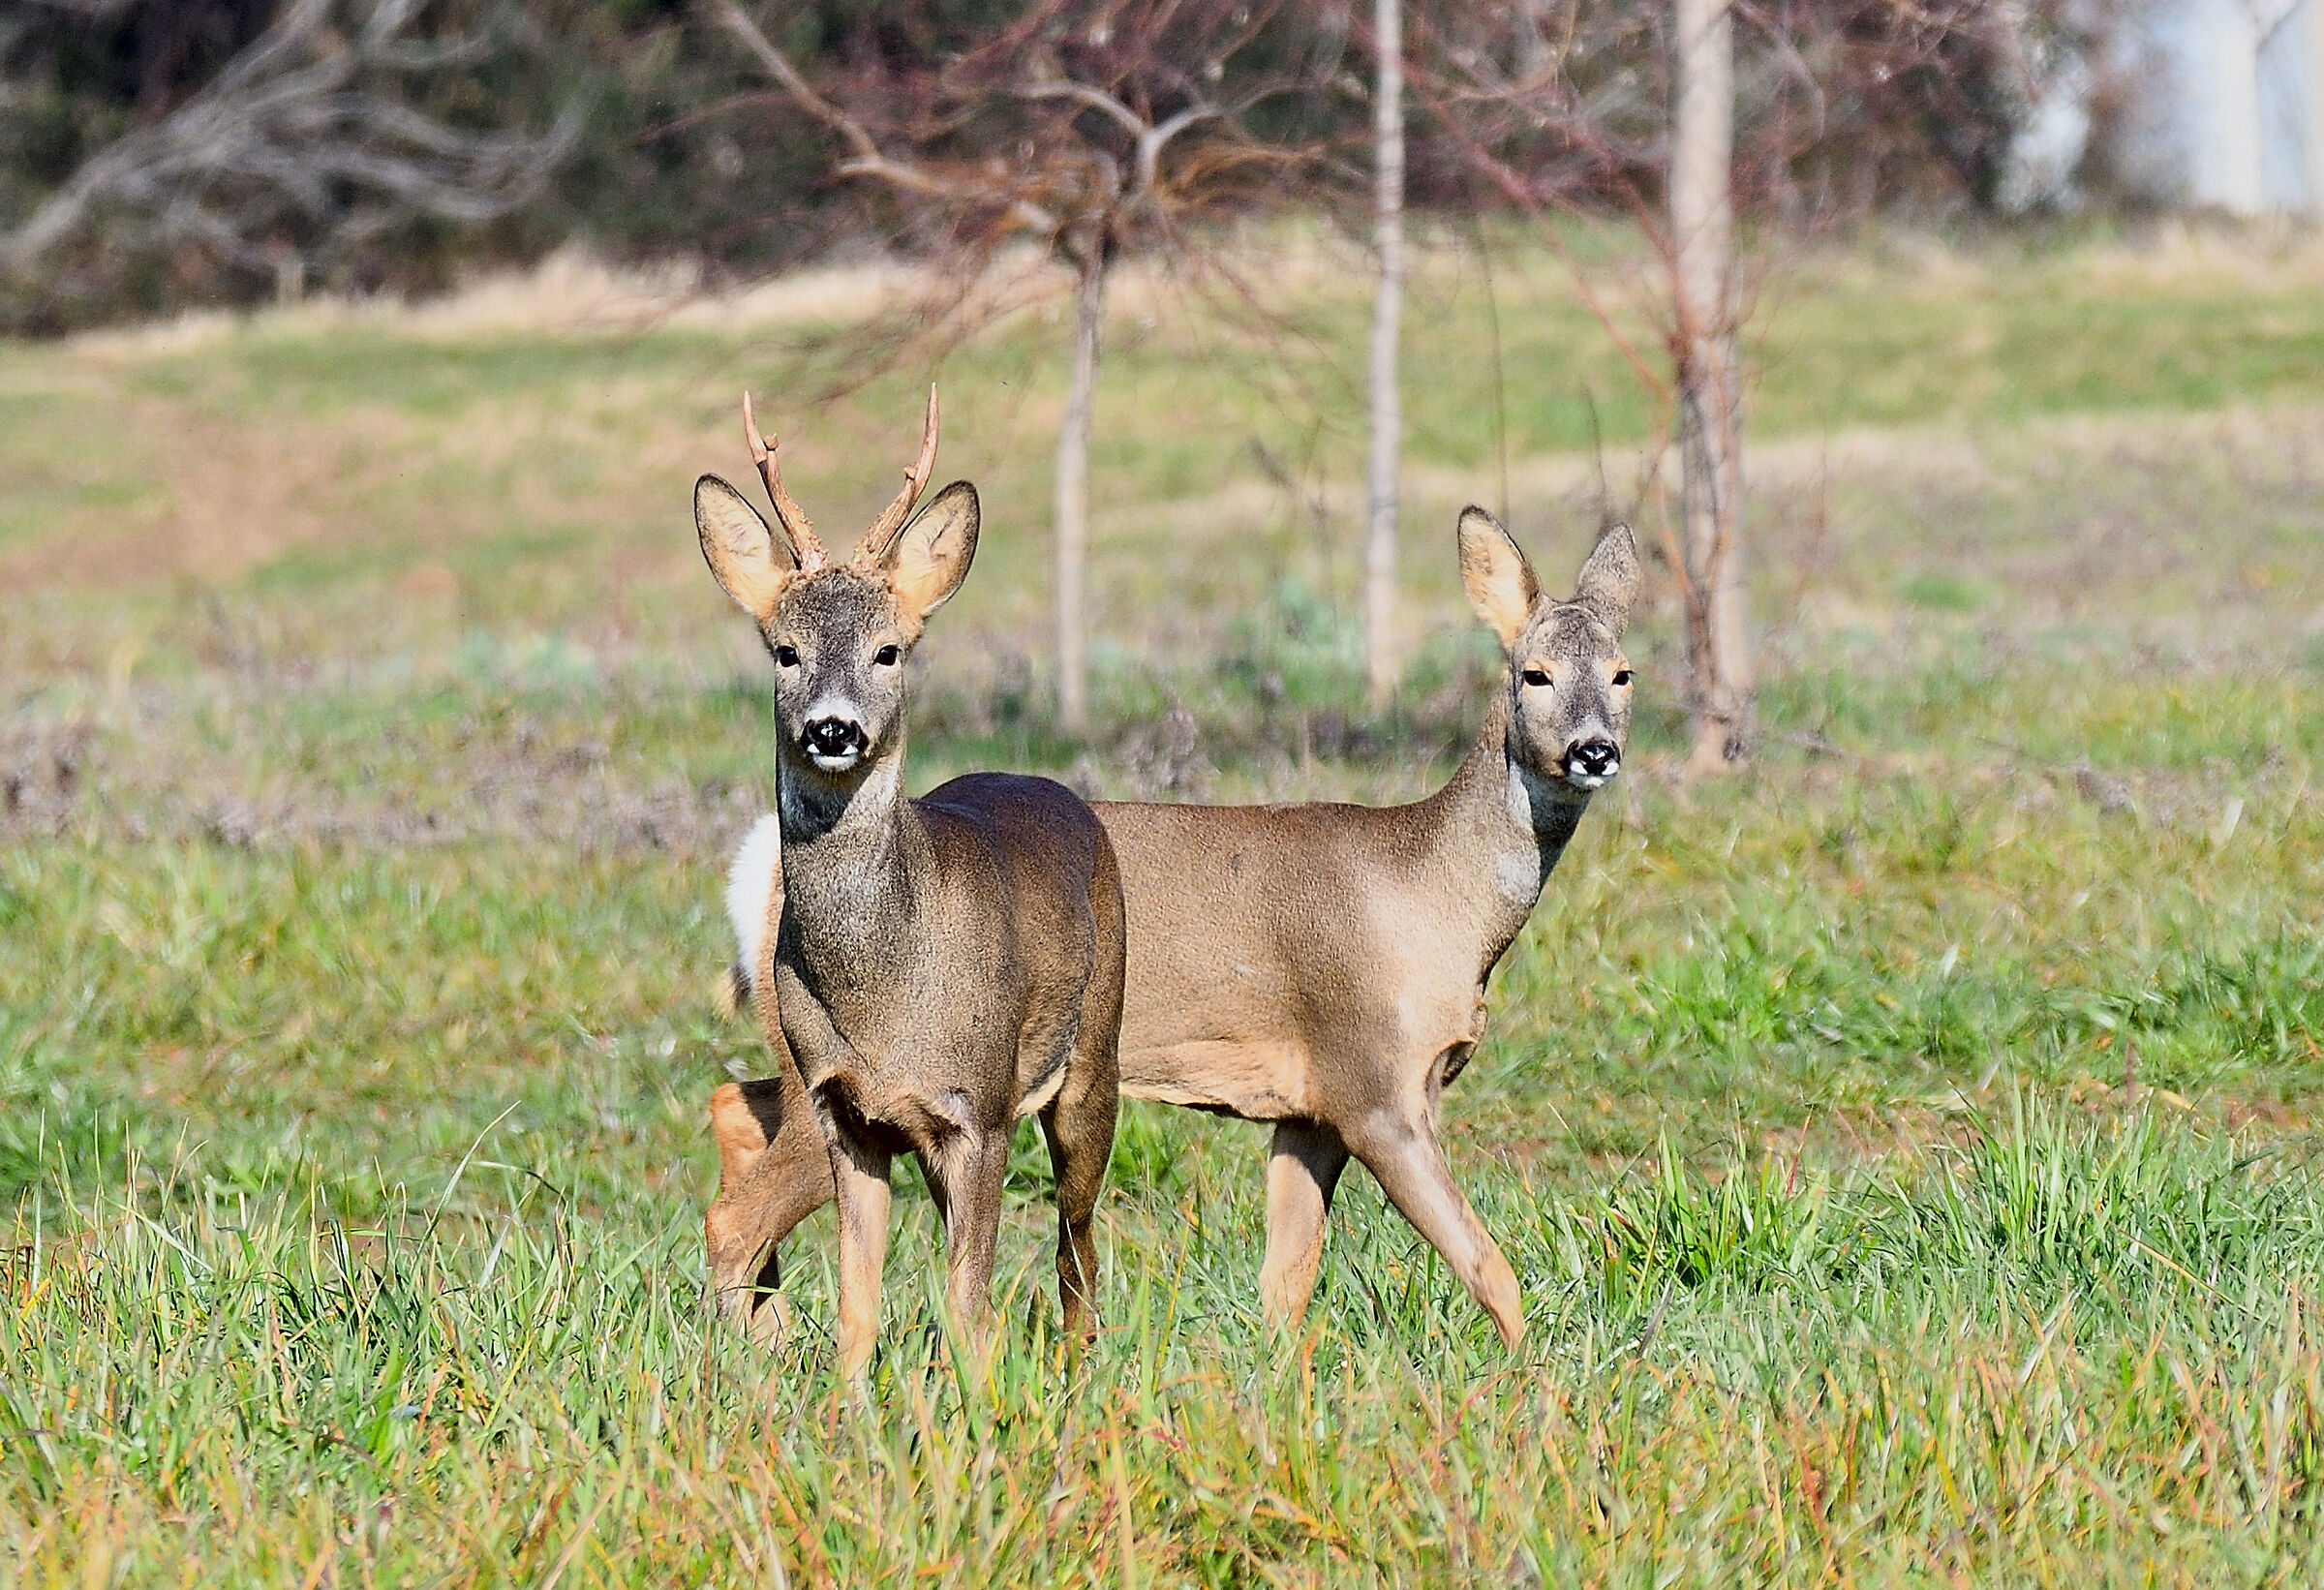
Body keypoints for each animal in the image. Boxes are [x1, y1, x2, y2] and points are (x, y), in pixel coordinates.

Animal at [695, 389, 1125, 1378]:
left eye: (890, 651)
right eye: (784, 651)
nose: (833, 729)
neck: (885, 993)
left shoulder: (978, 1110)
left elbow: (964, 1305)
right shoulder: (847, 1110)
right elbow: (861, 1306)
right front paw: (849, 1406)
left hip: (1094, 1062)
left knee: (1075, 1238)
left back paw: (1080, 1369)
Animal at [708, 505, 1640, 1350]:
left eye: (1624, 673)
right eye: (1535, 674)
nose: (1595, 750)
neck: (1435, 896)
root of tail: (758, 875)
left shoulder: (1306, 1109)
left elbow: (1285, 1286)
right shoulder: (1372, 1081)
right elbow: (1487, 1266)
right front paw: (1530, 1389)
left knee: (733, 1110)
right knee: (738, 1212)